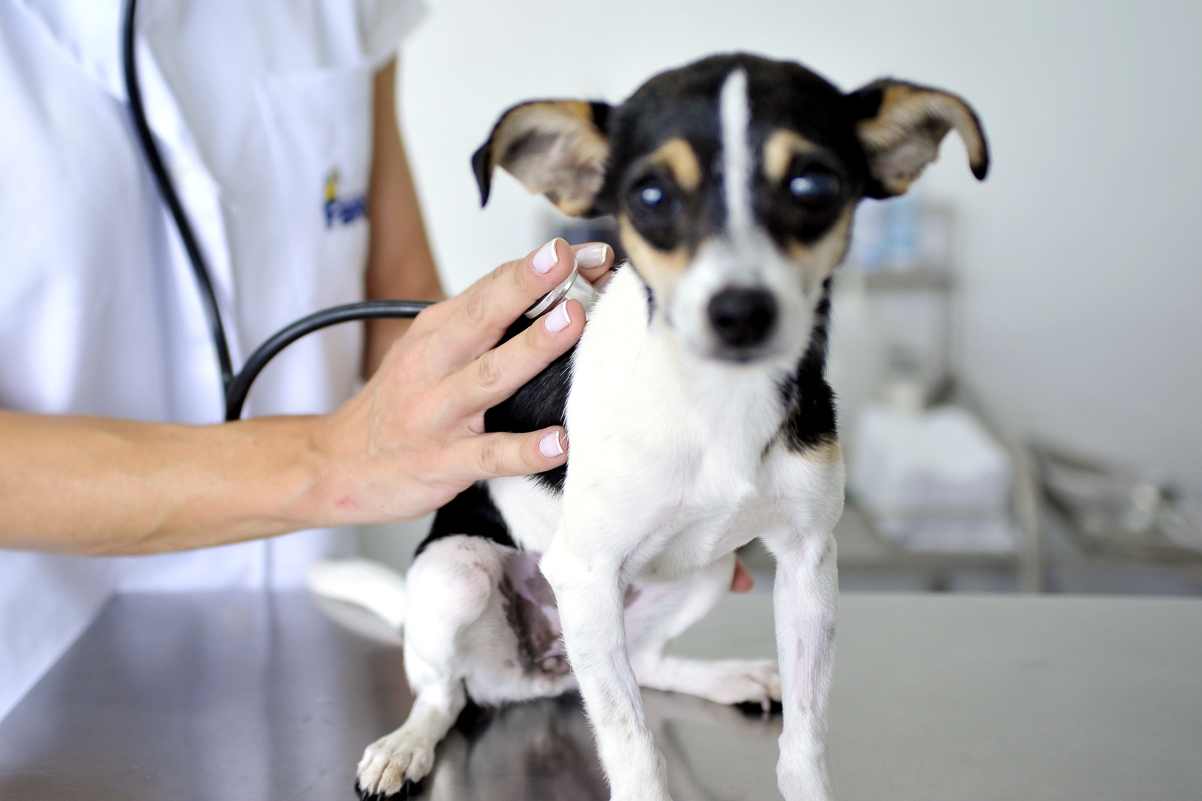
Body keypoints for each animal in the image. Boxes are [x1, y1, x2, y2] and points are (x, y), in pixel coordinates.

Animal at [310, 51, 985, 798]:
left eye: (813, 185)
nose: (740, 311)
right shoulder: (585, 572)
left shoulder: (808, 559)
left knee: (650, 663)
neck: (718, 403)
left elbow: (805, 741)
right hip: (457, 575)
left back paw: (729, 678)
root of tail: (544, 669)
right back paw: (406, 745)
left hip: (708, 569)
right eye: (651, 197)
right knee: (444, 693)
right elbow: (634, 751)